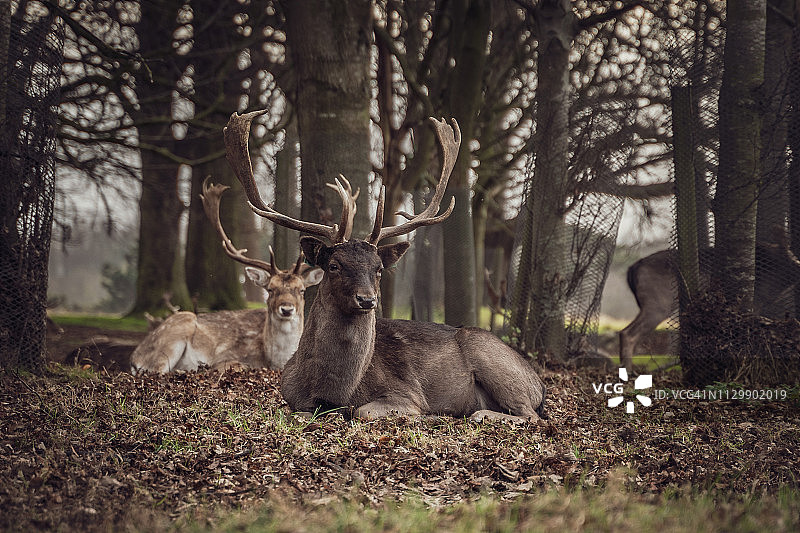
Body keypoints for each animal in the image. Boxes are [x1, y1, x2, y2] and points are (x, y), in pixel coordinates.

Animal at [129, 179, 323, 374]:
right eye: (270, 289)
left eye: (302, 290)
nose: (287, 309)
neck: (275, 361)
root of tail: (135, 357)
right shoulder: (226, 356)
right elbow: (235, 364)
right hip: (177, 330)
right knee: (156, 370)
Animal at [222, 109, 547, 422]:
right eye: (334, 265)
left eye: (379, 268)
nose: (367, 300)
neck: (331, 391)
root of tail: (540, 384)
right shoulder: (288, 395)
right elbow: (292, 412)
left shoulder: (408, 392)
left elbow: (362, 411)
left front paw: (429, 416)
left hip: (495, 362)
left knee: (532, 416)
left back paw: (477, 414)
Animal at [620, 243, 800, 370]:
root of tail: (632, 269)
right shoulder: (755, 302)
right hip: (659, 304)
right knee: (629, 333)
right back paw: (629, 372)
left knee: (624, 331)